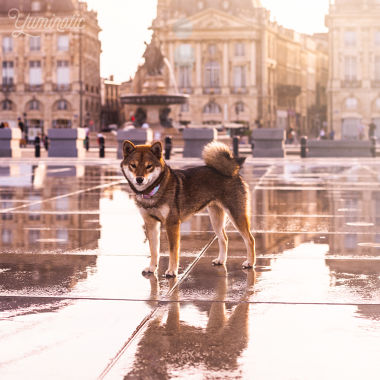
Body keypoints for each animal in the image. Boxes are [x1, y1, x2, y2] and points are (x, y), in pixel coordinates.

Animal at [120, 141, 255, 278]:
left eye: (149, 166)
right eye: (133, 165)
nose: (139, 179)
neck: (155, 190)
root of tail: (234, 172)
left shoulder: (172, 224)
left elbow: (173, 251)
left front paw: (172, 271)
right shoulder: (151, 224)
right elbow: (153, 250)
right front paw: (152, 268)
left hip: (236, 214)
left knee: (250, 239)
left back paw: (250, 262)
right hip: (215, 219)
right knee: (224, 238)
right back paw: (221, 260)